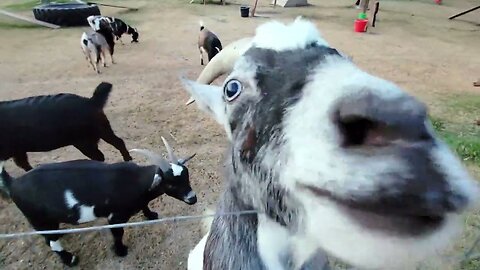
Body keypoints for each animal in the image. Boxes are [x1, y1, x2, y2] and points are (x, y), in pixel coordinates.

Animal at [0, 81, 131, 172]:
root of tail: (90, 101)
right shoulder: (19, 151)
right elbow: (24, 165)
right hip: (101, 131)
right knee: (116, 144)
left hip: (85, 141)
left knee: (103, 154)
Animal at [0, 138, 197, 266]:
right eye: (170, 184)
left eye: (186, 175)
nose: (192, 198)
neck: (134, 181)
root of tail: (13, 184)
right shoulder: (115, 217)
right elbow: (118, 233)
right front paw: (120, 251)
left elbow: (144, 205)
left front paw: (151, 215)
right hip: (37, 218)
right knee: (51, 242)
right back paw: (70, 260)